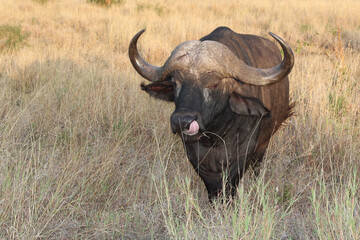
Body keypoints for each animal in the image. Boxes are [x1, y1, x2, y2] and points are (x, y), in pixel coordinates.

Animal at [128, 26, 294, 200]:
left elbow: (230, 185)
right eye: (174, 83)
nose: (182, 121)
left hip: (263, 145)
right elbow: (212, 187)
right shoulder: (196, 157)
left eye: (214, 84)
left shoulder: (243, 154)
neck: (216, 136)